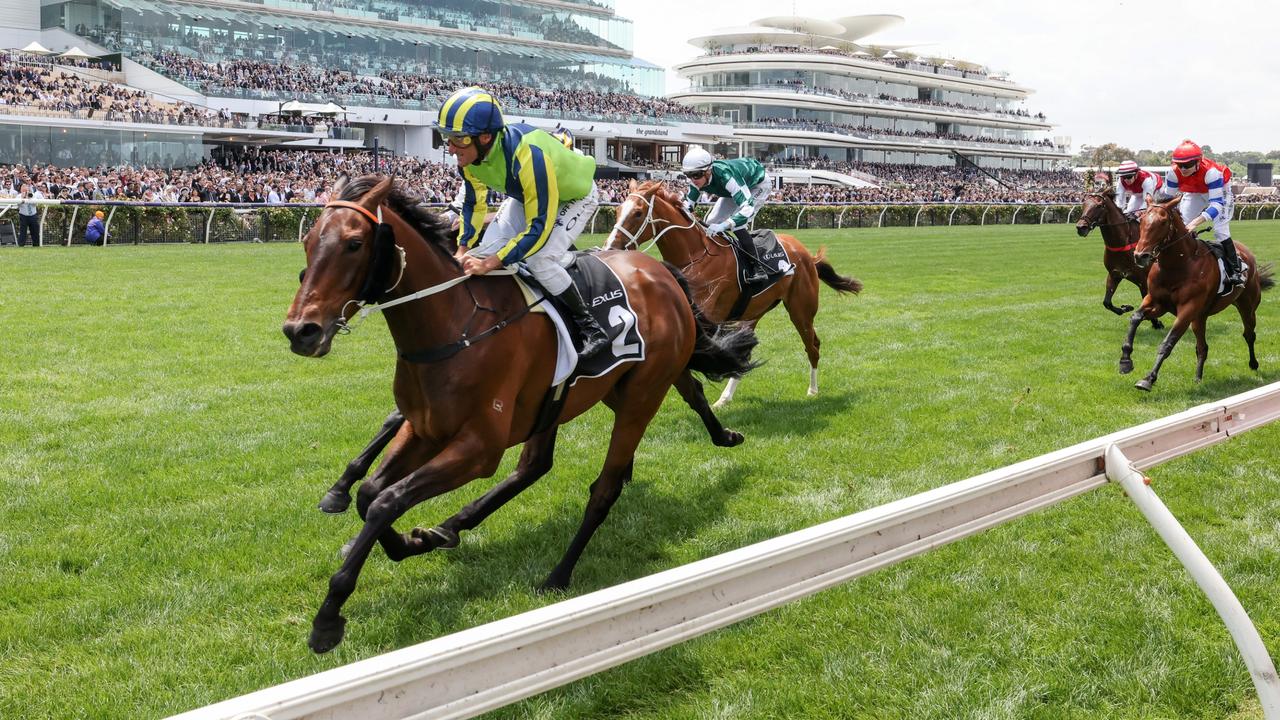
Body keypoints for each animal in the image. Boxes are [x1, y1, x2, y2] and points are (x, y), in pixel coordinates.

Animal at [284, 175, 752, 650]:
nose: (300, 330)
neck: (456, 325)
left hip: (642, 393)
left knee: (602, 489)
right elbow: (371, 494)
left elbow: (387, 500)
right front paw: (401, 538)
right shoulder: (425, 428)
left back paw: (558, 573)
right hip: (582, 394)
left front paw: (328, 617)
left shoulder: (479, 448)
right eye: (307, 241)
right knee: (540, 464)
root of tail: (660, 272)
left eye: (354, 243)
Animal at [604, 179, 865, 407]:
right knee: (745, 353)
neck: (695, 255)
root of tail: (806, 254)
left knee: (813, 345)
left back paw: (812, 390)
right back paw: (725, 398)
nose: (610, 247)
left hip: (801, 310)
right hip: (753, 313)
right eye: (617, 211)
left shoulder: (707, 316)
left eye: (638, 213)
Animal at [1075, 188, 1167, 327]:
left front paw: (1156, 323)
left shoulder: (1143, 280)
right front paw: (1126, 308)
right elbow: (1107, 302)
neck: (1123, 243)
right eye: (1084, 204)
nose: (1081, 227)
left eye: (1099, 206)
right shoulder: (1114, 274)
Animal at [1116, 193, 1274, 389]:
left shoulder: (1187, 309)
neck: (1177, 265)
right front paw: (1125, 360)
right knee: (1202, 347)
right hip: (1200, 317)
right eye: (1143, 219)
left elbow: (1168, 342)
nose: (1140, 256)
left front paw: (1148, 378)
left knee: (1249, 334)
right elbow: (1135, 317)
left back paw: (1253, 364)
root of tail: (1247, 254)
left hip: (1247, 306)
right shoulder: (1157, 302)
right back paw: (1198, 377)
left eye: (1163, 222)